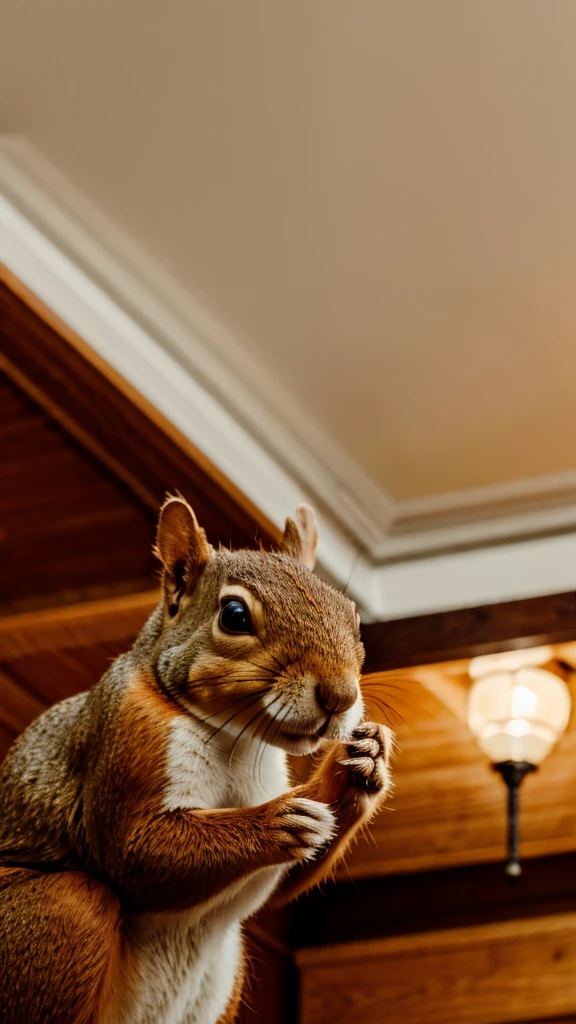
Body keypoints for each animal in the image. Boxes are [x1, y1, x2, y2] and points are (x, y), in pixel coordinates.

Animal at [0, 495, 389, 1024]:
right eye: (234, 615)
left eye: (352, 615)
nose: (340, 696)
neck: (236, 742)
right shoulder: (124, 737)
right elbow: (136, 852)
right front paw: (275, 819)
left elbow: (284, 884)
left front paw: (364, 762)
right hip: (59, 917)